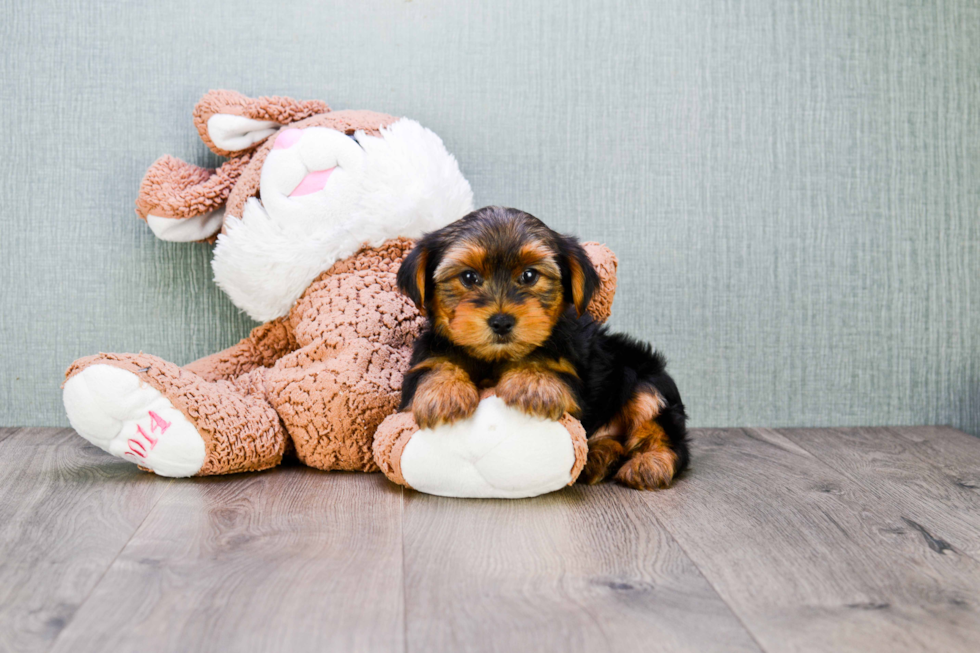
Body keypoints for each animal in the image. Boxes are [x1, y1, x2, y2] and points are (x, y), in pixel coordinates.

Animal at [398, 206, 688, 486]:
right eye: (469, 277)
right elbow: (432, 367)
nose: (501, 322)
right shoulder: (424, 357)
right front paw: (444, 393)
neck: (495, 358)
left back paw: (648, 464)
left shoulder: (573, 375)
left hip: (645, 380)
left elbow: (547, 362)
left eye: (529, 276)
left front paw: (533, 384)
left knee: (661, 430)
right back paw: (600, 457)